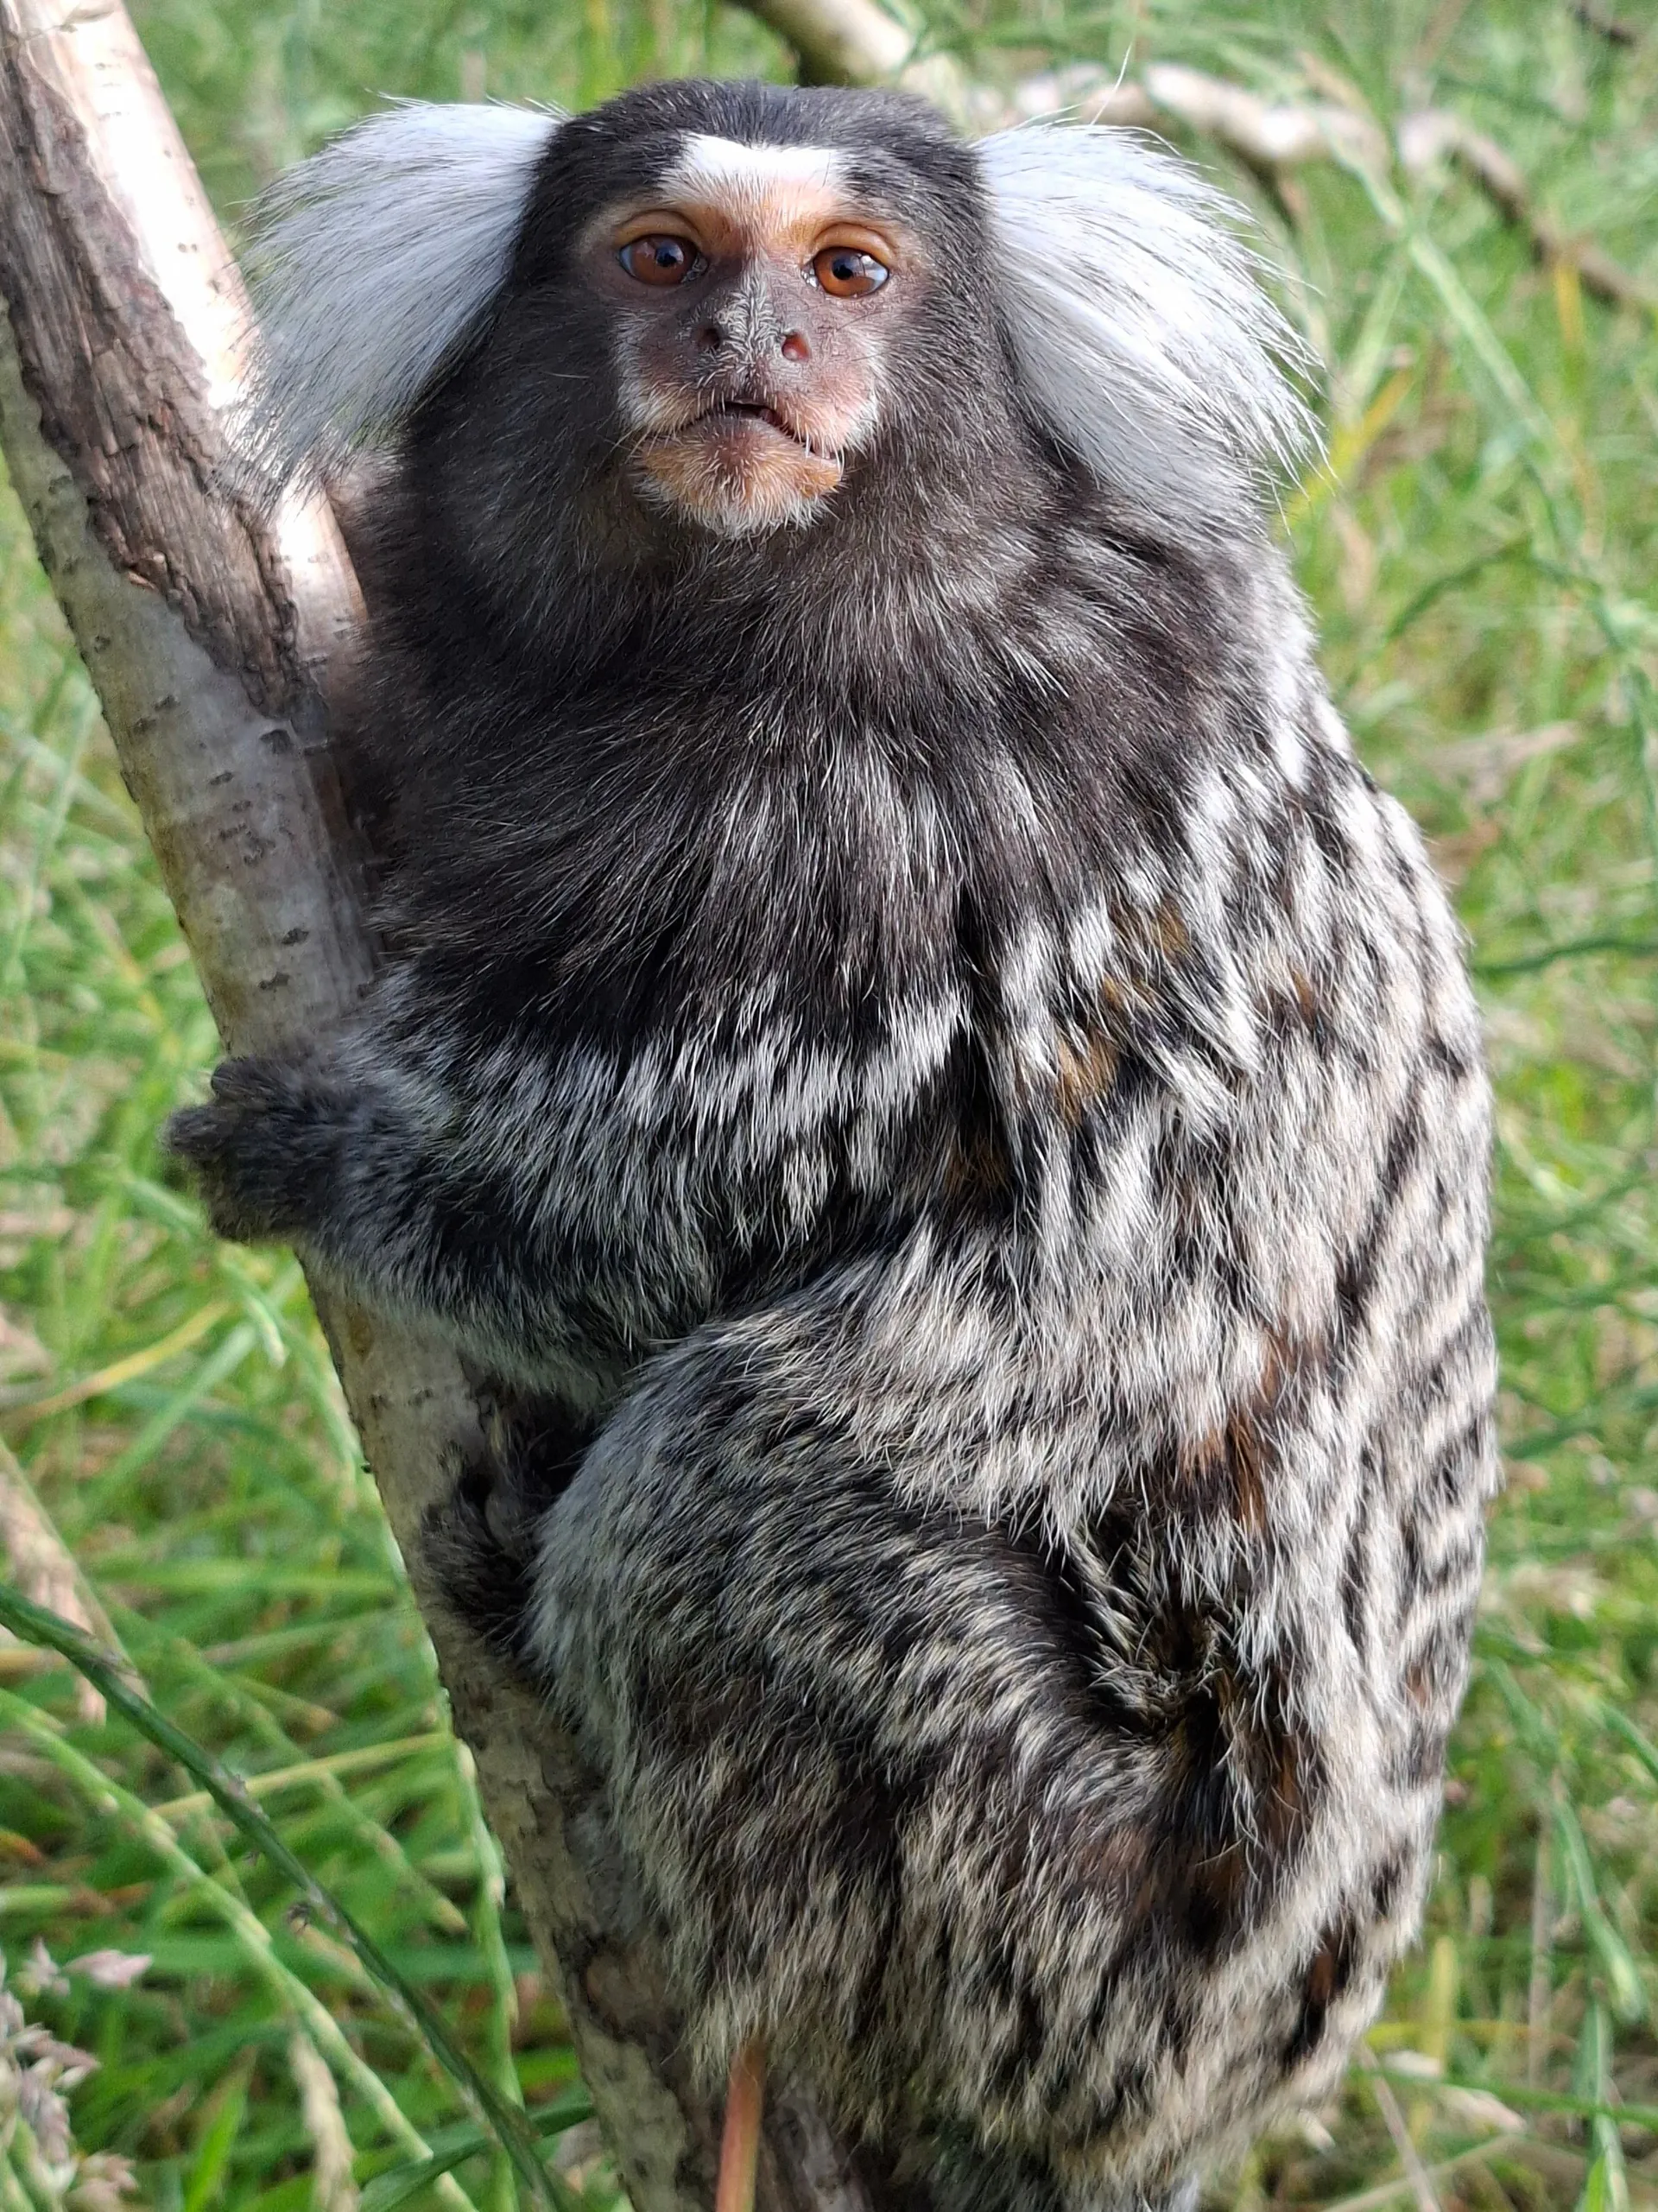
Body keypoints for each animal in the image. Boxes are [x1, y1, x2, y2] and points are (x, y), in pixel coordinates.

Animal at [169, 77, 1499, 2212]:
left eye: (852, 272)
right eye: (662, 257)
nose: (753, 345)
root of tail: (1202, 2098)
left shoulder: (947, 834)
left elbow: (681, 1210)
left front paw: (330, 1160)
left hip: (1062, 1904)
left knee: (736, 1457)